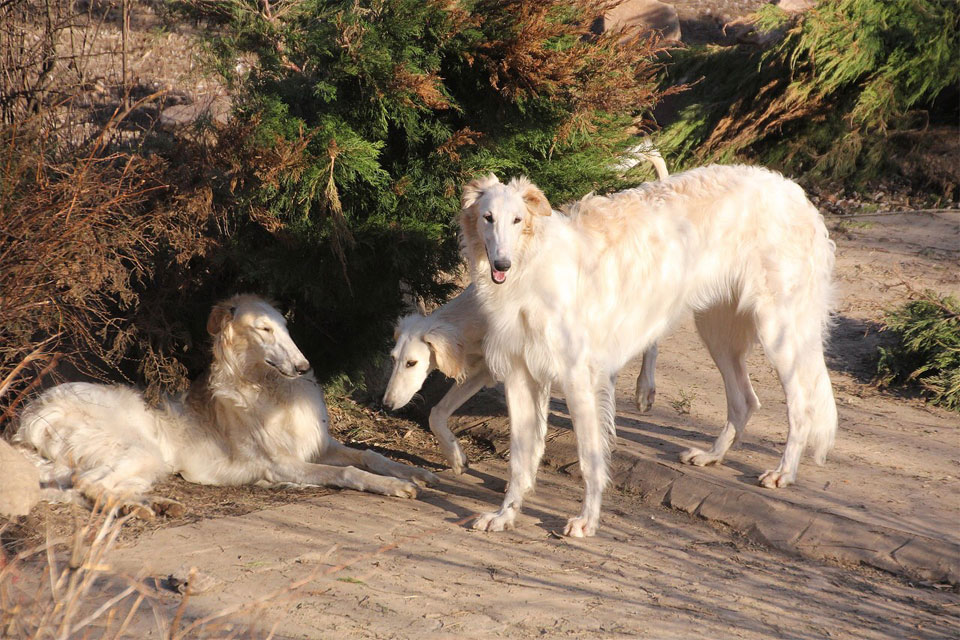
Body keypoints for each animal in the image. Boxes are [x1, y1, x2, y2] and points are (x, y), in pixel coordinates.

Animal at [15, 296, 436, 520]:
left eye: (286, 328)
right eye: (264, 329)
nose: (304, 367)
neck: (269, 387)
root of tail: (32, 413)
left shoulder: (318, 445)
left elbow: (369, 455)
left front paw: (416, 473)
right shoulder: (280, 464)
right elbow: (350, 471)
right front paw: (397, 486)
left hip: (136, 463)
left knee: (76, 486)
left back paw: (159, 504)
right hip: (139, 450)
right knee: (90, 484)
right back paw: (143, 509)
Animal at [462, 164, 836, 536]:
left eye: (517, 219)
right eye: (488, 218)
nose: (502, 264)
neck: (533, 265)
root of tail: (794, 191)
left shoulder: (579, 378)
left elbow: (590, 461)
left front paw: (587, 521)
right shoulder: (520, 375)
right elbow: (519, 460)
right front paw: (504, 515)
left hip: (780, 333)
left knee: (802, 406)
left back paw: (783, 473)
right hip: (716, 331)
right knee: (745, 400)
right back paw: (711, 455)